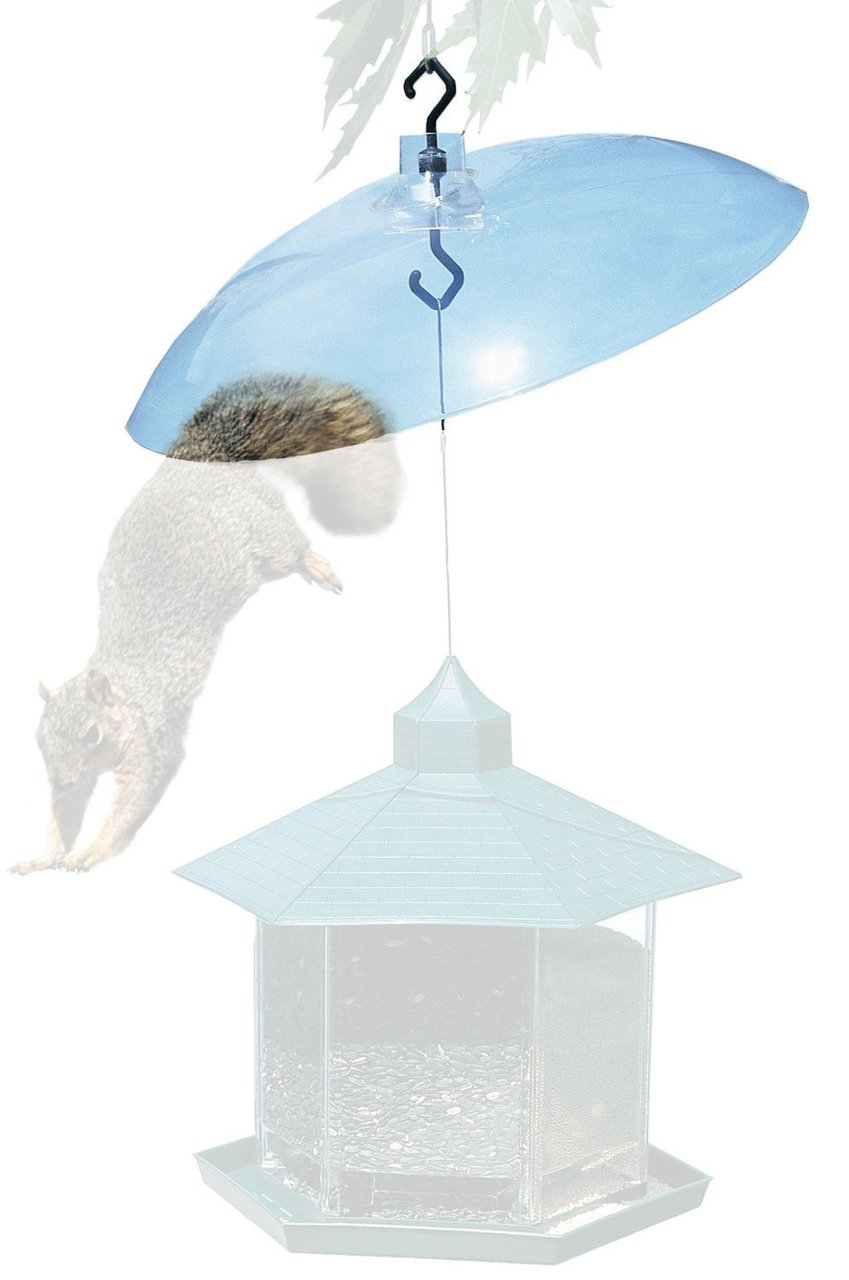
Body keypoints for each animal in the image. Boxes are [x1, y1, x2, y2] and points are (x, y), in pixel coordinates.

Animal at [12, 374, 402, 875]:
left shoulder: (152, 737)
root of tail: (204, 463)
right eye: (39, 739)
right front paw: (44, 856)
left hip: (264, 538)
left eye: (92, 734)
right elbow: (66, 813)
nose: (58, 779)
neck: (125, 693)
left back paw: (314, 563)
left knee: (291, 544)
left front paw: (92, 852)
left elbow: (131, 800)